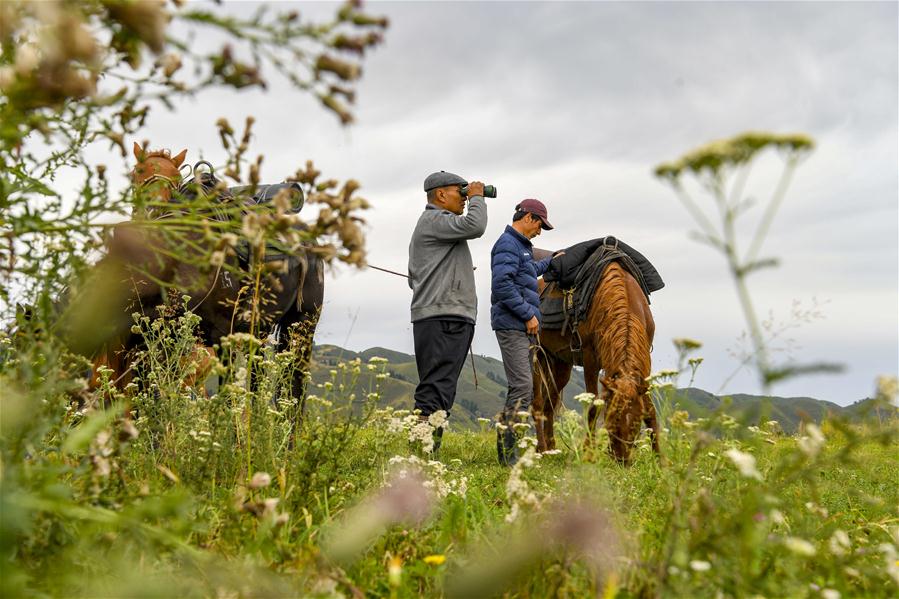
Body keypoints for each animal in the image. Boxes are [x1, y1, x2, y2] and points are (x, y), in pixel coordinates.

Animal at [532, 251, 656, 466]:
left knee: (550, 402)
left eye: (636, 422)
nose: (622, 459)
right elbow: (593, 407)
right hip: (536, 355)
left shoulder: (643, 364)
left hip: (560, 364)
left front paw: (660, 459)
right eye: (612, 417)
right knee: (538, 403)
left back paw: (550, 448)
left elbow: (650, 409)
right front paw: (588, 453)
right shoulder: (591, 360)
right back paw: (541, 448)